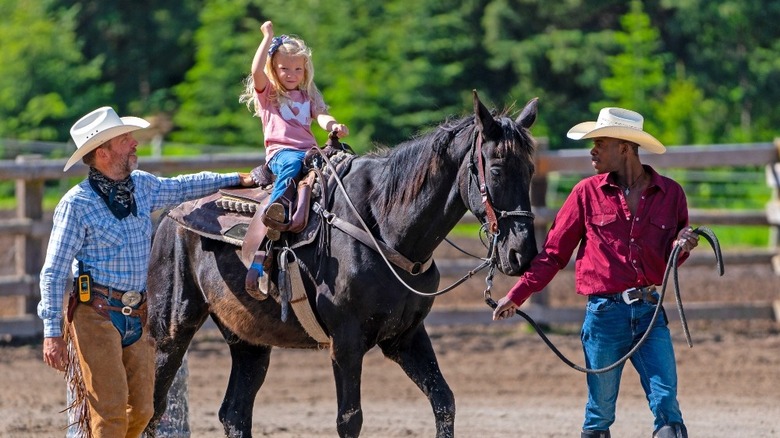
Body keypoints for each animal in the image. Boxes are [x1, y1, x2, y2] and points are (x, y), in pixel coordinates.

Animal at [143, 91, 540, 434]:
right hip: (171, 331)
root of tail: (172, 212)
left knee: (234, 413)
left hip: (248, 341)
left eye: (531, 170)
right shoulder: (346, 343)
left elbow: (444, 401)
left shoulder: (406, 337)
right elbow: (350, 420)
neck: (385, 227)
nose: (521, 253)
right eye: (497, 170)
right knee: (154, 409)